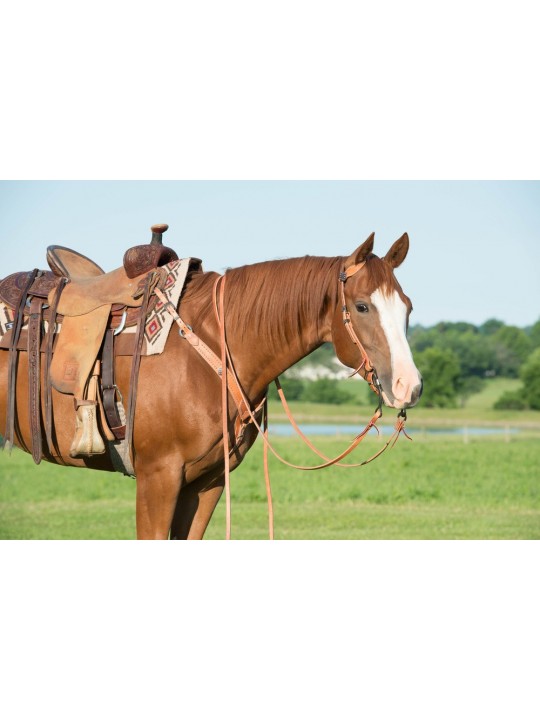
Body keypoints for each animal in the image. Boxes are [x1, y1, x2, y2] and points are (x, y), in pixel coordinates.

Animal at [0, 233, 422, 536]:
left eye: (408, 306)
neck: (209, 348)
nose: (409, 386)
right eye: (362, 306)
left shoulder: (208, 483)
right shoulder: (158, 479)